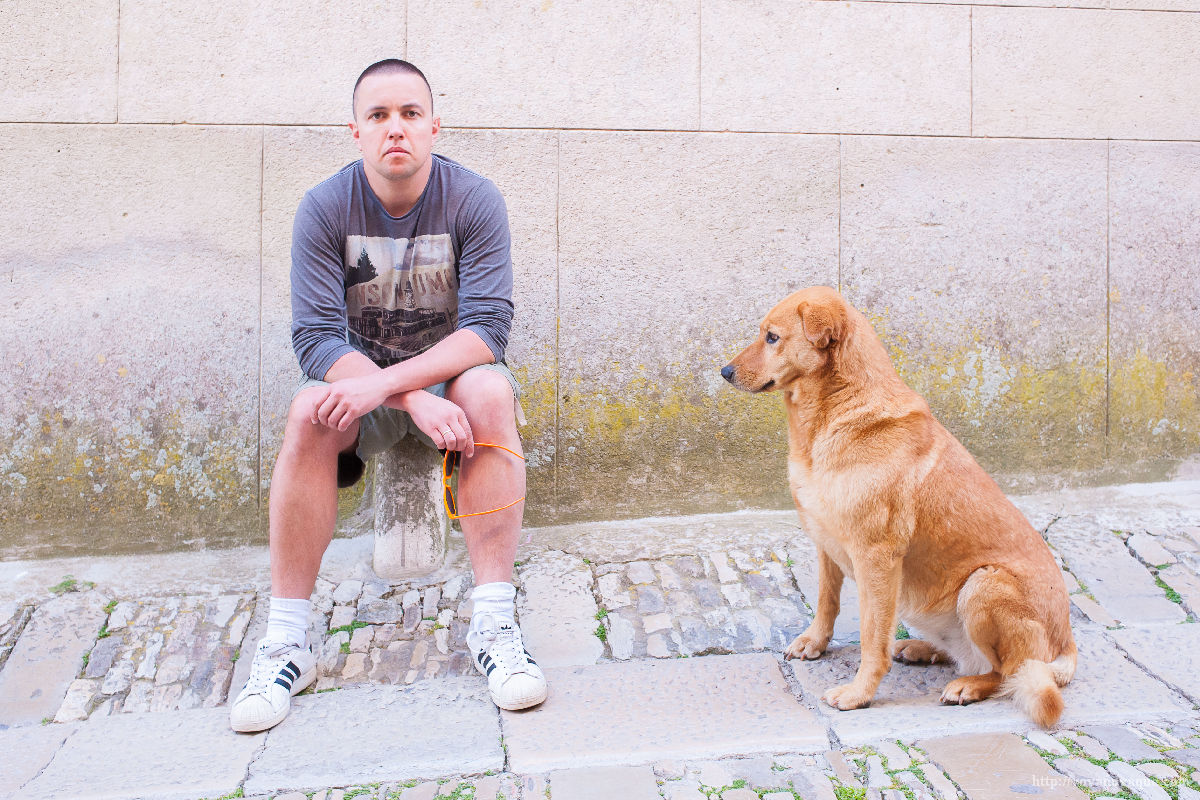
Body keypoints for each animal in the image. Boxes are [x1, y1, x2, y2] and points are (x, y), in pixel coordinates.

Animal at [715, 286, 1075, 724]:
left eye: (772, 337)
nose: (724, 372)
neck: (835, 412)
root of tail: (1068, 645)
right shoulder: (825, 541)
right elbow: (826, 601)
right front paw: (816, 642)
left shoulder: (877, 558)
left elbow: (872, 638)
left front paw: (859, 694)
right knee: (969, 656)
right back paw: (923, 649)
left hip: (984, 585)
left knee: (1007, 671)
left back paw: (968, 685)